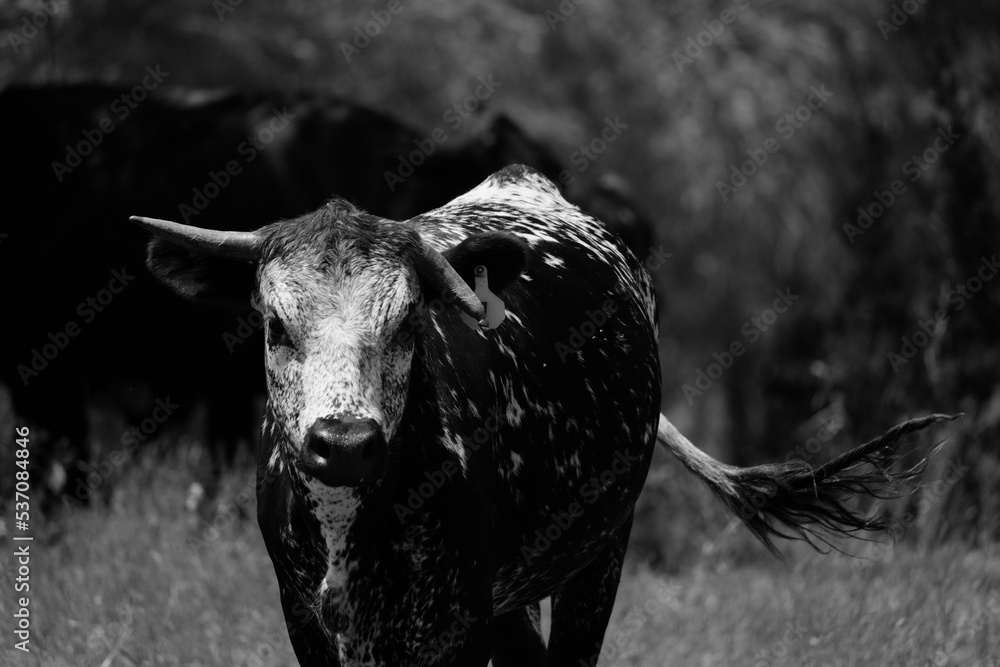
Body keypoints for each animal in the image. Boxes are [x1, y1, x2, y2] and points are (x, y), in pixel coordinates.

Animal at [134, 164, 951, 666]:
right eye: (275, 325)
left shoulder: (454, 623)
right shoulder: (306, 617)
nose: (345, 442)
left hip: (599, 554)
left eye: (408, 322)